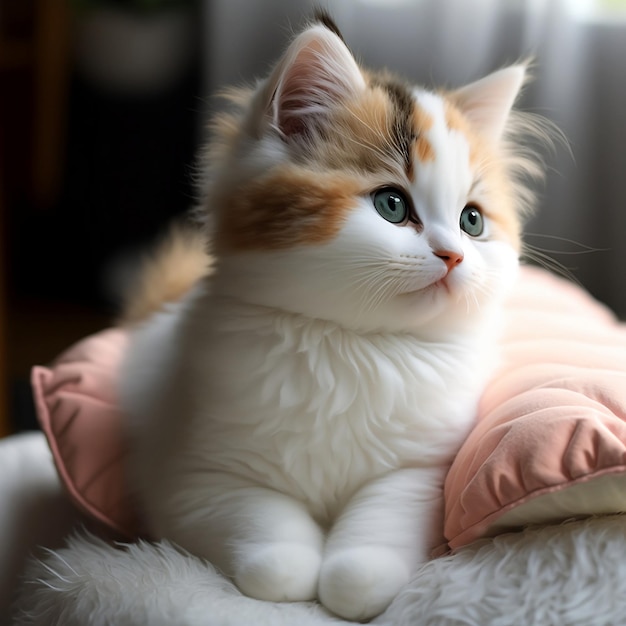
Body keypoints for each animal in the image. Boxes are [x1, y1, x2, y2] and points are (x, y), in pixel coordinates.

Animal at [119, 13, 544, 620]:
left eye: (472, 221)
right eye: (392, 205)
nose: (453, 256)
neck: (352, 343)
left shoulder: (420, 471)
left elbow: (366, 551)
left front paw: (351, 587)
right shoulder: (192, 472)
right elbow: (275, 551)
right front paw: (294, 580)